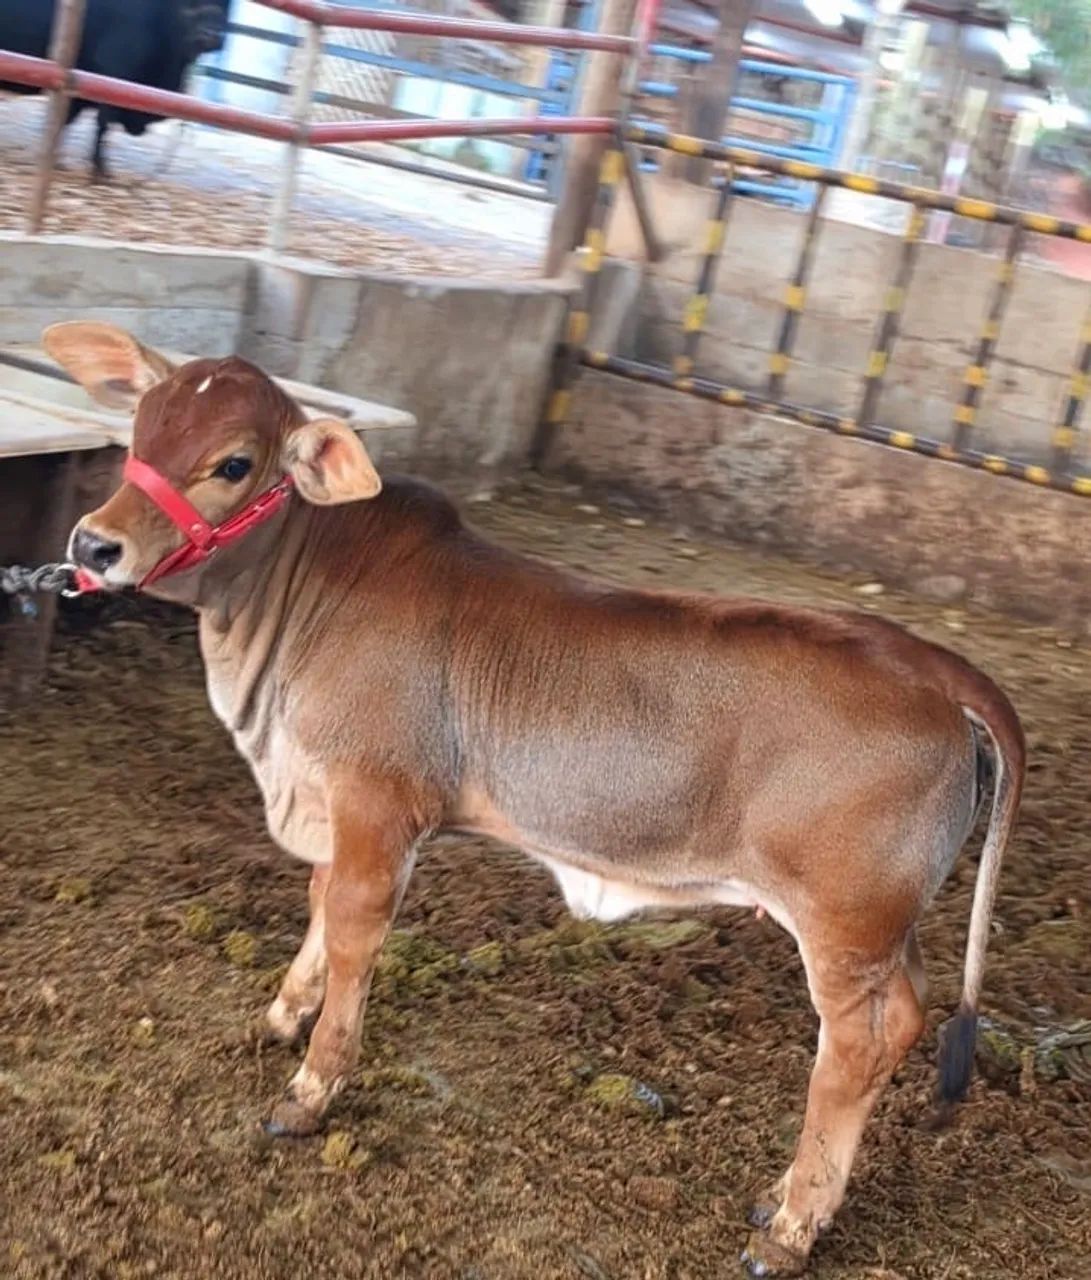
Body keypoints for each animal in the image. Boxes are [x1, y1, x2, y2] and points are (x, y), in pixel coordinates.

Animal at [0, 0, 229, 178]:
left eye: (224, 5)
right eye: (189, 5)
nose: (211, 35)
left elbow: (66, 120)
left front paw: (57, 160)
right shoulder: (112, 73)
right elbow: (102, 123)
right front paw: (100, 170)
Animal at [49, 320, 1025, 1277]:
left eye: (233, 463)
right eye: (139, 428)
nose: (94, 545)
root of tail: (937, 669)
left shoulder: (377, 805)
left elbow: (354, 932)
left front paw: (309, 1092)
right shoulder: (333, 805)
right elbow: (321, 907)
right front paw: (282, 1017)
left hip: (841, 924)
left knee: (849, 1052)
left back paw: (787, 1227)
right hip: (880, 927)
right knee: (904, 1019)